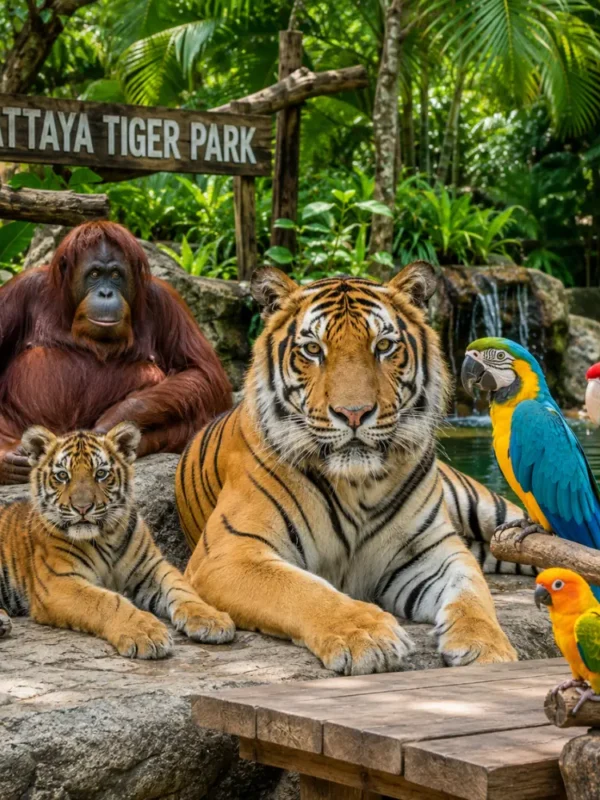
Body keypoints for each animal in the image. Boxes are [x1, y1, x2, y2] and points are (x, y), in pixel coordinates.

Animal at [0, 422, 234, 657]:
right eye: (62, 476)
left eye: (101, 474)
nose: (82, 508)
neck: (106, 537)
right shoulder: (58, 581)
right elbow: (106, 601)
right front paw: (146, 632)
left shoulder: (152, 568)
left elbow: (182, 588)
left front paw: (211, 619)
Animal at [176, 262, 520, 675]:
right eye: (313, 350)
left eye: (384, 346)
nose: (353, 413)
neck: (359, 484)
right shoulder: (229, 554)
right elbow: (303, 590)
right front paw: (368, 636)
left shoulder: (434, 552)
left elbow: (472, 592)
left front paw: (487, 646)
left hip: (491, 512)